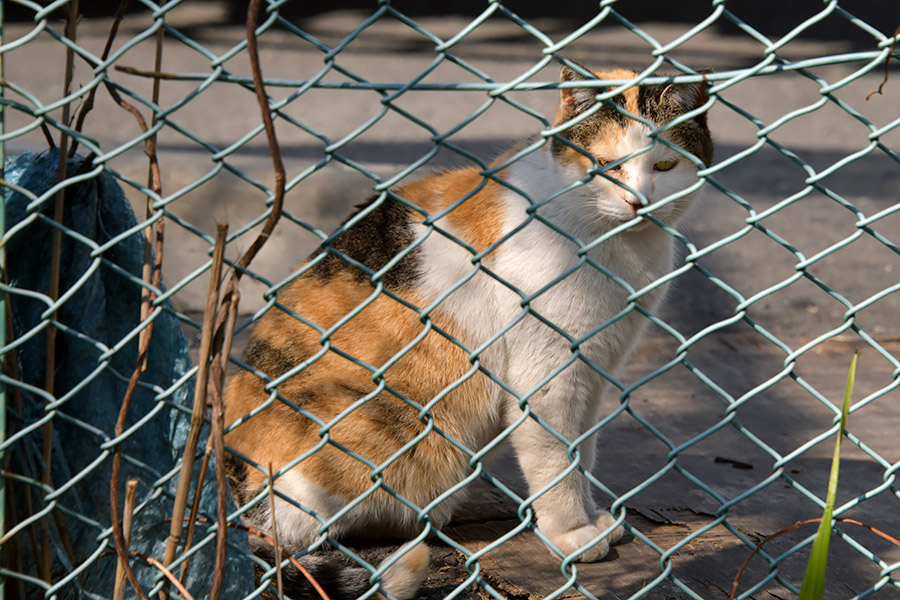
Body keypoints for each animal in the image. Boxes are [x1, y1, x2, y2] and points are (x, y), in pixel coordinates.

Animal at [221, 63, 712, 596]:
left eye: (664, 166)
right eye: (604, 165)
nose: (638, 202)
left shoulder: (594, 369)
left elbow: (582, 451)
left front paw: (593, 519)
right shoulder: (548, 375)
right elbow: (556, 460)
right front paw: (571, 534)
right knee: (295, 535)